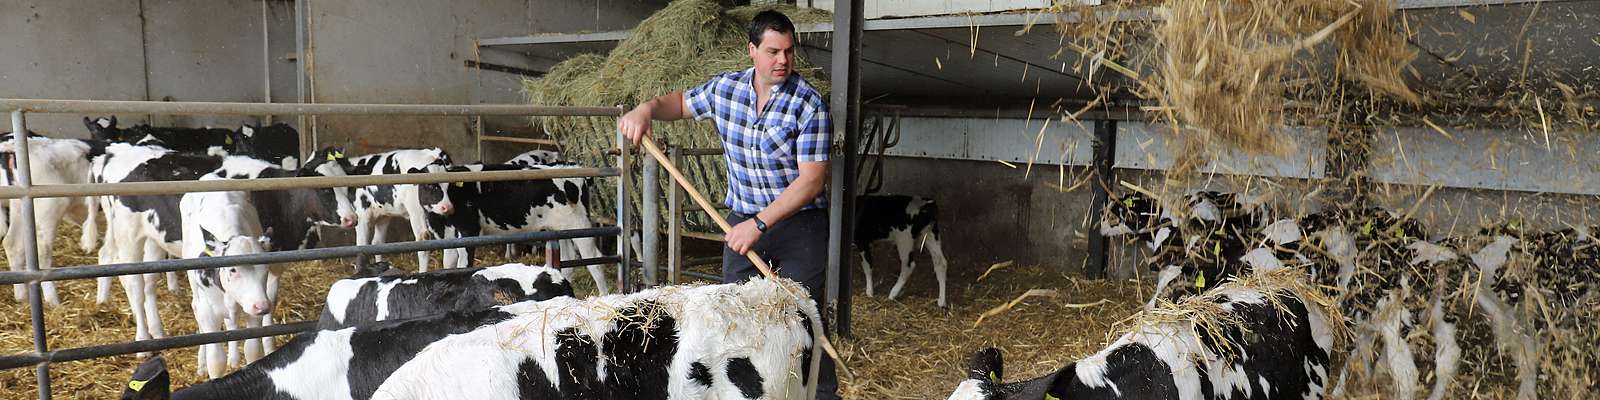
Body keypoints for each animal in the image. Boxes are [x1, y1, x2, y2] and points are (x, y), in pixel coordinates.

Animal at [0, 134, 103, 305]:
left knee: (12, 244)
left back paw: (22, 298)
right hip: (49, 209)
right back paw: (53, 301)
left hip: (19, 208)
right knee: (43, 254)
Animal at [183, 180, 280, 379]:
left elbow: (253, 351)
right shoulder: (208, 314)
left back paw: (234, 358)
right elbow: (216, 360)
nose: (261, 306)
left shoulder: (253, 315)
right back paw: (201, 364)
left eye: (266, 268)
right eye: (233, 269)